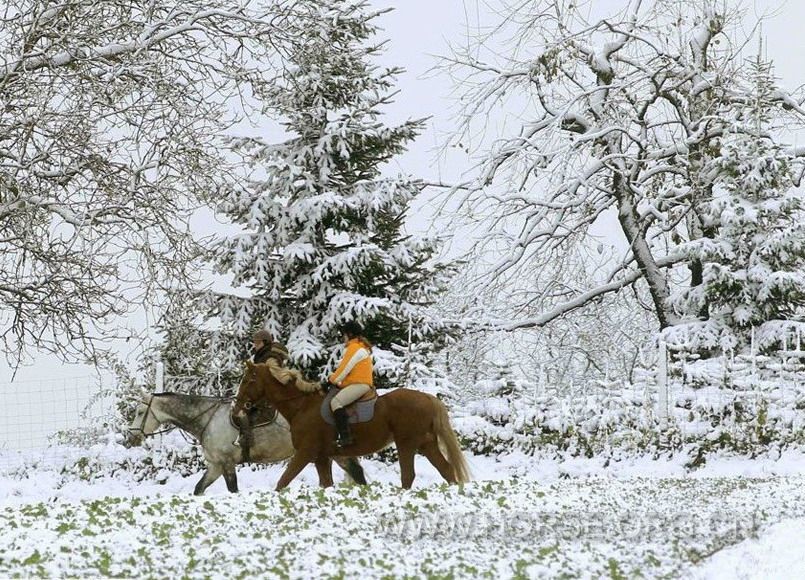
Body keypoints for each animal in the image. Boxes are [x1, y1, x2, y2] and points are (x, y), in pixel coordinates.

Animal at [127, 390, 366, 494]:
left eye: (139, 412)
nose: (132, 437)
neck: (208, 418)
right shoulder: (215, 465)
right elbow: (198, 488)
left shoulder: (226, 464)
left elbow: (233, 489)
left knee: (356, 472)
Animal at [232, 362, 472, 490]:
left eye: (248, 380)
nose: (238, 408)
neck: (302, 406)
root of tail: (428, 398)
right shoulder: (322, 457)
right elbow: (326, 484)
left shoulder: (305, 453)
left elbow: (283, 481)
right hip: (426, 444)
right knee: (446, 470)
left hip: (407, 444)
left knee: (408, 476)